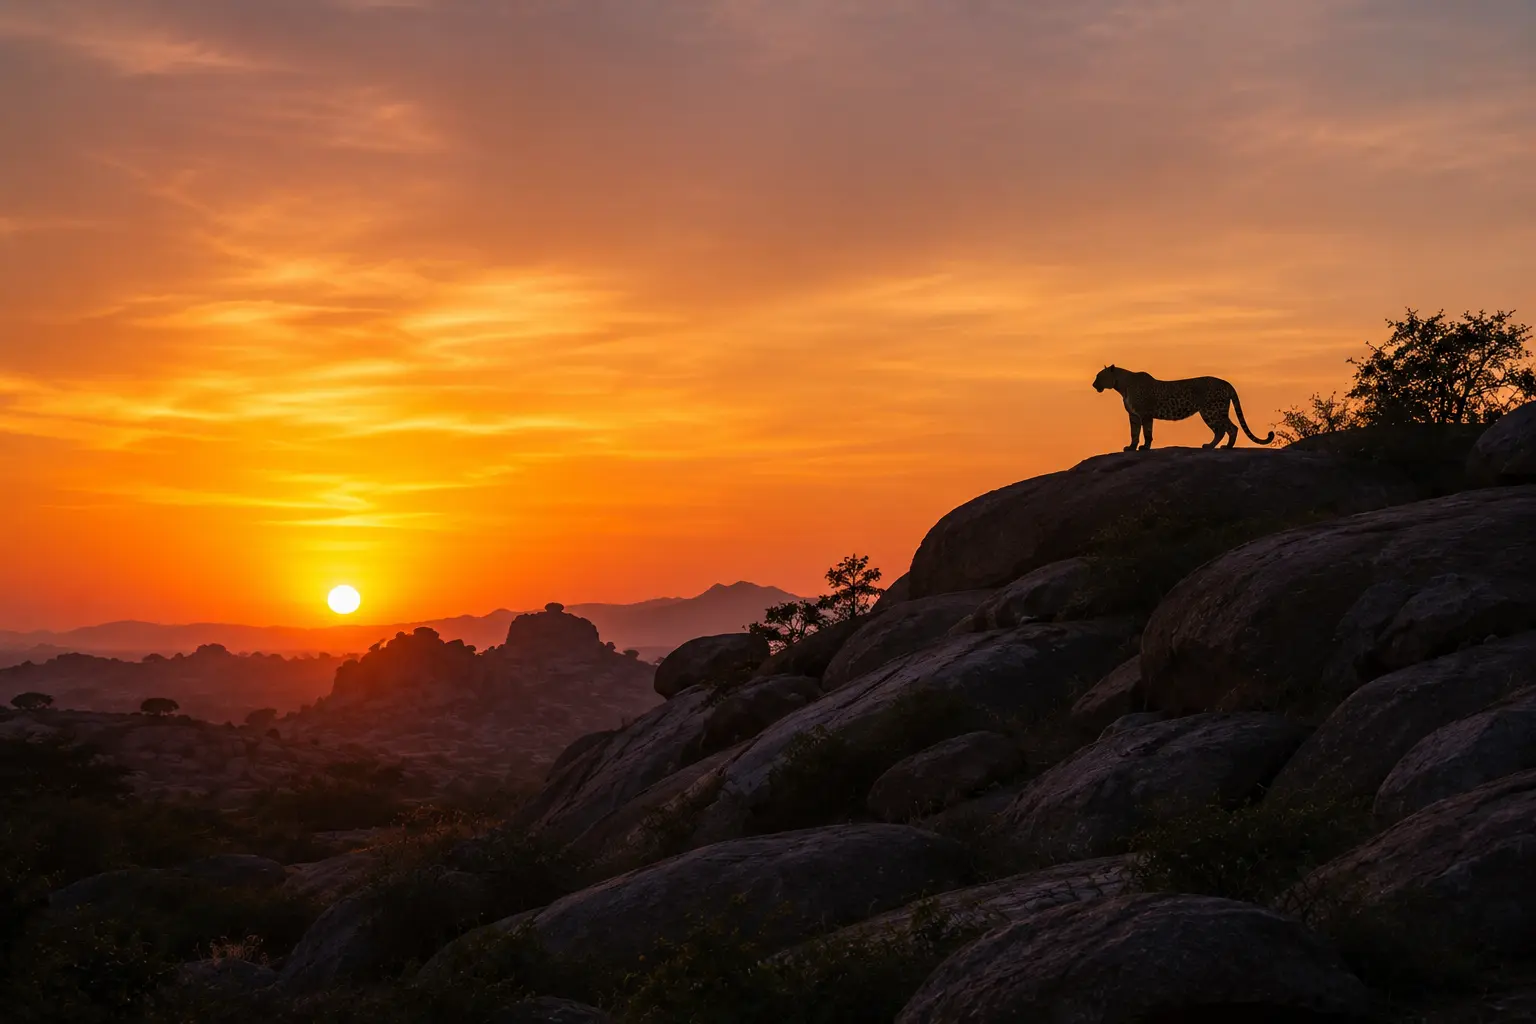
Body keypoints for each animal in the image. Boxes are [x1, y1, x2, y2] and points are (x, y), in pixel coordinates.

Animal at [1092, 365, 1275, 451]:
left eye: (1099, 377)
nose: (1093, 385)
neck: (1122, 386)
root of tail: (1226, 382)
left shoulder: (1145, 414)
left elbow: (1147, 432)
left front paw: (1145, 447)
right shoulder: (1134, 416)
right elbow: (1134, 433)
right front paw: (1131, 448)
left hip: (1211, 411)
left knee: (1230, 428)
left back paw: (1224, 447)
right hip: (1216, 411)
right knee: (1223, 429)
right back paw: (1212, 446)